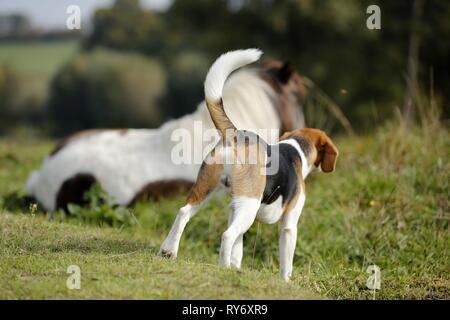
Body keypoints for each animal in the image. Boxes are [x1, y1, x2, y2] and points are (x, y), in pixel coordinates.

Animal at [158, 48, 338, 282]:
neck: (295, 148)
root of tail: (235, 135)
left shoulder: (234, 209)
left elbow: (239, 246)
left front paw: (237, 266)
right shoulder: (289, 223)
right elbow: (286, 260)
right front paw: (285, 281)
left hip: (206, 190)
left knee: (183, 213)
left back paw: (169, 250)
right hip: (249, 206)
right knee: (227, 235)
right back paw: (223, 267)